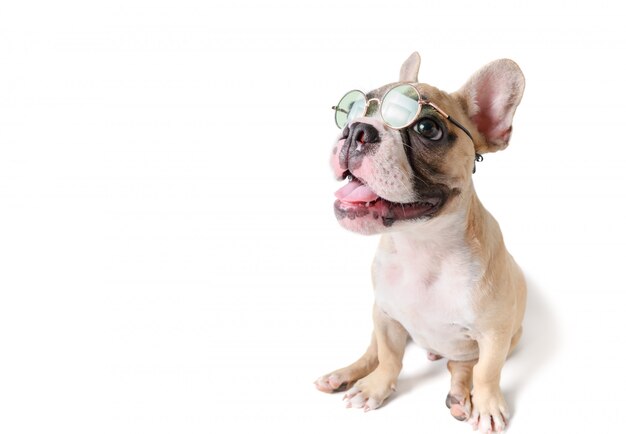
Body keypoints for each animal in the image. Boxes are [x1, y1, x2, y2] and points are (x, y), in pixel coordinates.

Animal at [314, 51, 524, 434]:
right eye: (351, 112)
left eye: (427, 128)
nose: (355, 131)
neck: (423, 246)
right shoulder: (384, 315)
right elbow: (388, 356)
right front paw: (376, 388)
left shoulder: (496, 333)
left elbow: (487, 373)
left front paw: (487, 405)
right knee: (372, 352)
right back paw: (344, 376)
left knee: (461, 367)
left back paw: (459, 397)